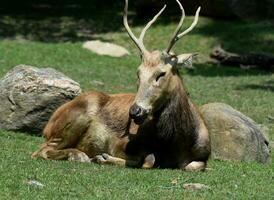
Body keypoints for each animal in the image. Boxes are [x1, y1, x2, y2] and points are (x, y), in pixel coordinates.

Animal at [31, 0, 210, 171]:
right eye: (138, 72)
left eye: (161, 73)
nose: (135, 111)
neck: (177, 144)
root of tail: (48, 125)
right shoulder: (122, 143)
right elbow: (147, 160)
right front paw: (102, 157)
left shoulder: (203, 156)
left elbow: (195, 166)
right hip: (73, 120)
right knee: (40, 151)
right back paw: (79, 155)